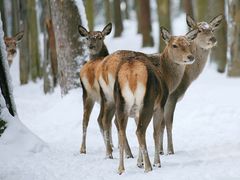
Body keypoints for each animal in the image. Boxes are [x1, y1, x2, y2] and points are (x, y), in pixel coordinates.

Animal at [78, 22, 113, 155]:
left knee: (86, 120)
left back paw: (83, 149)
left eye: (100, 37)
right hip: (100, 96)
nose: (90, 46)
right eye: (87, 37)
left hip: (88, 95)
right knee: (98, 119)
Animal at [100, 26, 198, 173]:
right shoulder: (160, 105)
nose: (190, 57)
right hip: (146, 102)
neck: (168, 77)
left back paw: (119, 166)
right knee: (138, 130)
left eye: (188, 44)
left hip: (117, 100)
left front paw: (139, 162)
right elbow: (157, 131)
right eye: (174, 45)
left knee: (117, 127)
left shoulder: (136, 111)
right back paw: (148, 166)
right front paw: (157, 161)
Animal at [160, 13, 224, 155]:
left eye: (212, 29)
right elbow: (168, 122)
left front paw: (161, 150)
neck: (186, 77)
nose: (213, 39)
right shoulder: (172, 96)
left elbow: (161, 123)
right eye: (199, 30)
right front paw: (170, 151)